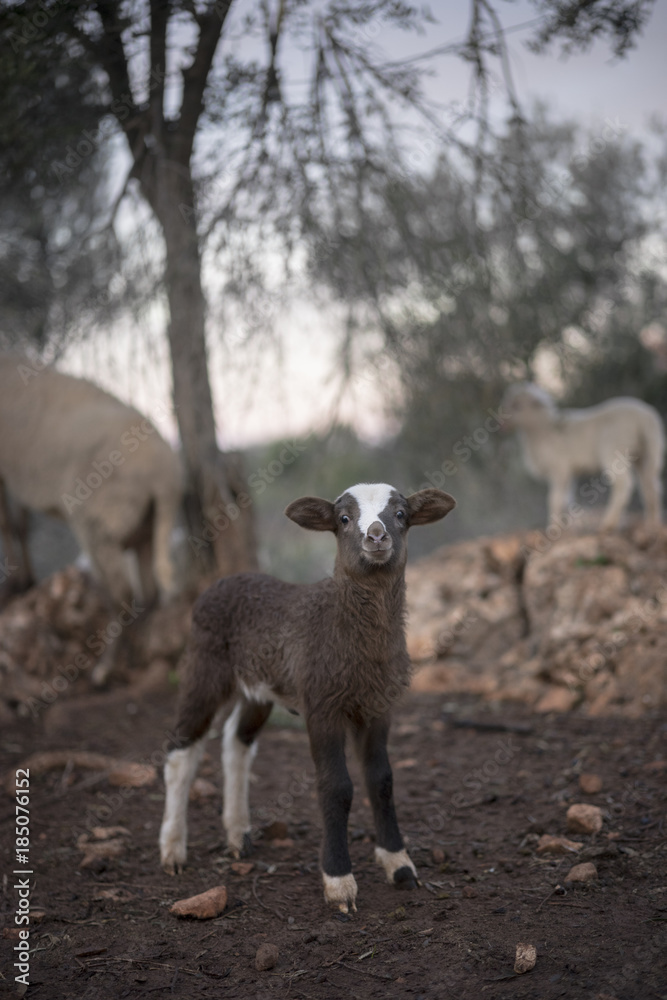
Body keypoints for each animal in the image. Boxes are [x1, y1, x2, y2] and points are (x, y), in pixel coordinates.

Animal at [0, 355, 183, 683]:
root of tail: (165, 478)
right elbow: (20, 524)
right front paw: (23, 579)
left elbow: (7, 523)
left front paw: (16, 581)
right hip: (145, 526)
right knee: (148, 591)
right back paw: (134, 655)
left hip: (100, 523)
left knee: (121, 594)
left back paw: (104, 669)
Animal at [159, 482, 456, 913]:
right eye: (344, 519)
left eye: (401, 514)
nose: (376, 536)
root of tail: (223, 580)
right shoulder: (322, 704)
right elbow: (337, 787)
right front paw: (339, 883)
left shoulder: (379, 705)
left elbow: (381, 779)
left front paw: (399, 865)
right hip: (205, 665)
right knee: (181, 748)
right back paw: (172, 851)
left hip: (260, 687)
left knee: (235, 740)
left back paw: (238, 835)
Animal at [502, 382, 664, 529]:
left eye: (517, 406)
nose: (503, 423)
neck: (543, 430)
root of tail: (645, 418)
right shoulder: (569, 472)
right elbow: (566, 499)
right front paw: (567, 526)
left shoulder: (559, 468)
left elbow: (555, 499)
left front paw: (553, 526)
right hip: (648, 453)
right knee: (651, 487)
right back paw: (652, 524)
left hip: (614, 451)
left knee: (624, 485)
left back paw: (609, 523)